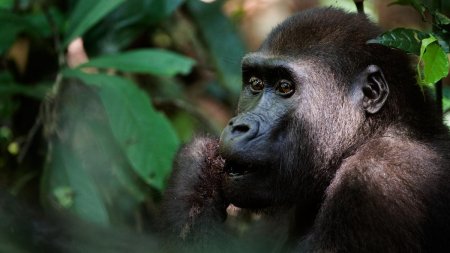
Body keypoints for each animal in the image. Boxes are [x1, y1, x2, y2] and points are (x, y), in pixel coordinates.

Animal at [163, 6, 450, 252]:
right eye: (255, 83)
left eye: (285, 87)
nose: (238, 127)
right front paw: (198, 166)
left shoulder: (376, 181)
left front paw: (195, 161)